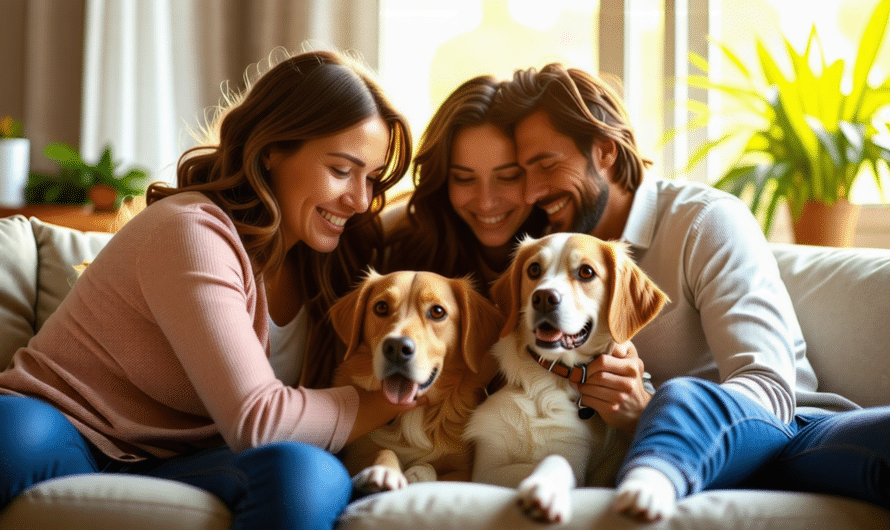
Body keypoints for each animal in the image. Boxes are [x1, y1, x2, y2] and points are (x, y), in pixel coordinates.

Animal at [330, 268, 502, 490]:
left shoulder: (465, 472)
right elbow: (384, 451)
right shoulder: (353, 457)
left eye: (437, 311)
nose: (396, 348)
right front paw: (384, 470)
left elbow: (432, 469)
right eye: (381, 307)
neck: (414, 411)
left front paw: (420, 473)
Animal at [464, 233, 664, 520]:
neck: (547, 380)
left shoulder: (573, 451)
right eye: (534, 269)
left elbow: (558, 460)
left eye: (586, 272)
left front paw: (544, 488)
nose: (544, 297)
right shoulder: (486, 463)